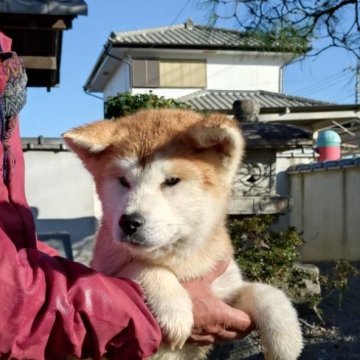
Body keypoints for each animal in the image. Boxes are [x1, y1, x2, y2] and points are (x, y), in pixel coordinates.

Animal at [63, 109, 302, 360]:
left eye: (171, 181)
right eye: (123, 181)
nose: (129, 223)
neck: (180, 263)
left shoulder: (224, 289)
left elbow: (266, 292)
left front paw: (286, 341)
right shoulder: (105, 272)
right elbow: (139, 266)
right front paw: (173, 306)